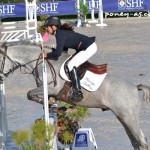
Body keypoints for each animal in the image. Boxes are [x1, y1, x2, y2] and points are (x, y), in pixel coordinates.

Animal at [0, 40, 150, 149]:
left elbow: (29, 94)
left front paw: (52, 104)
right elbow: (38, 98)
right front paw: (54, 106)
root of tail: (134, 88)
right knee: (135, 141)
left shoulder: (51, 88)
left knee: (141, 140)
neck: (41, 61)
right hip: (122, 117)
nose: (1, 77)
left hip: (129, 117)